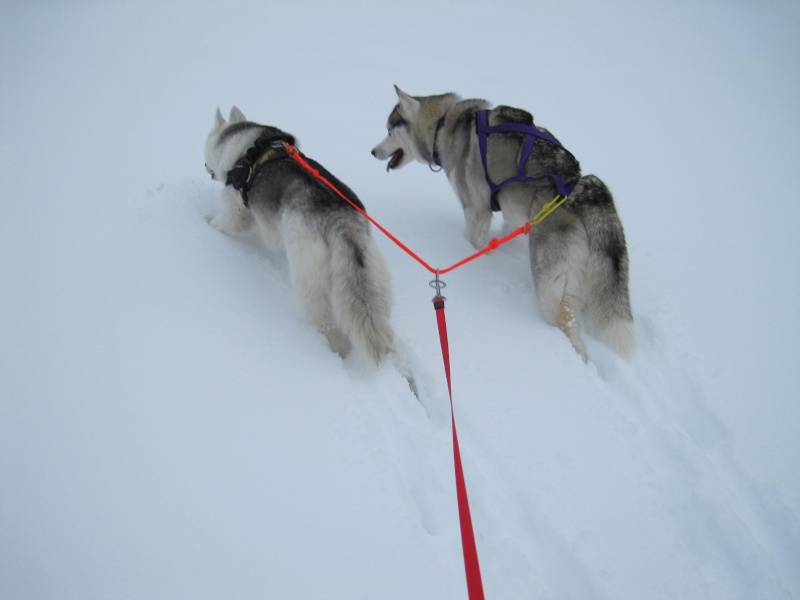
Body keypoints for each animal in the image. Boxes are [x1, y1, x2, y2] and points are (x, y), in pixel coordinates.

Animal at [205, 108, 396, 368]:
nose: (206, 166)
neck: (242, 145)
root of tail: (339, 219)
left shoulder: (236, 212)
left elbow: (224, 222)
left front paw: (207, 221)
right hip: (371, 273)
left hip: (308, 279)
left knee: (326, 322)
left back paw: (336, 352)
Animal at [372, 87, 636, 360]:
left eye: (389, 131)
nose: (373, 151)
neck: (444, 122)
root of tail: (580, 186)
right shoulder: (512, 211)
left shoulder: (476, 211)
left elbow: (474, 237)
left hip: (550, 289)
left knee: (568, 325)